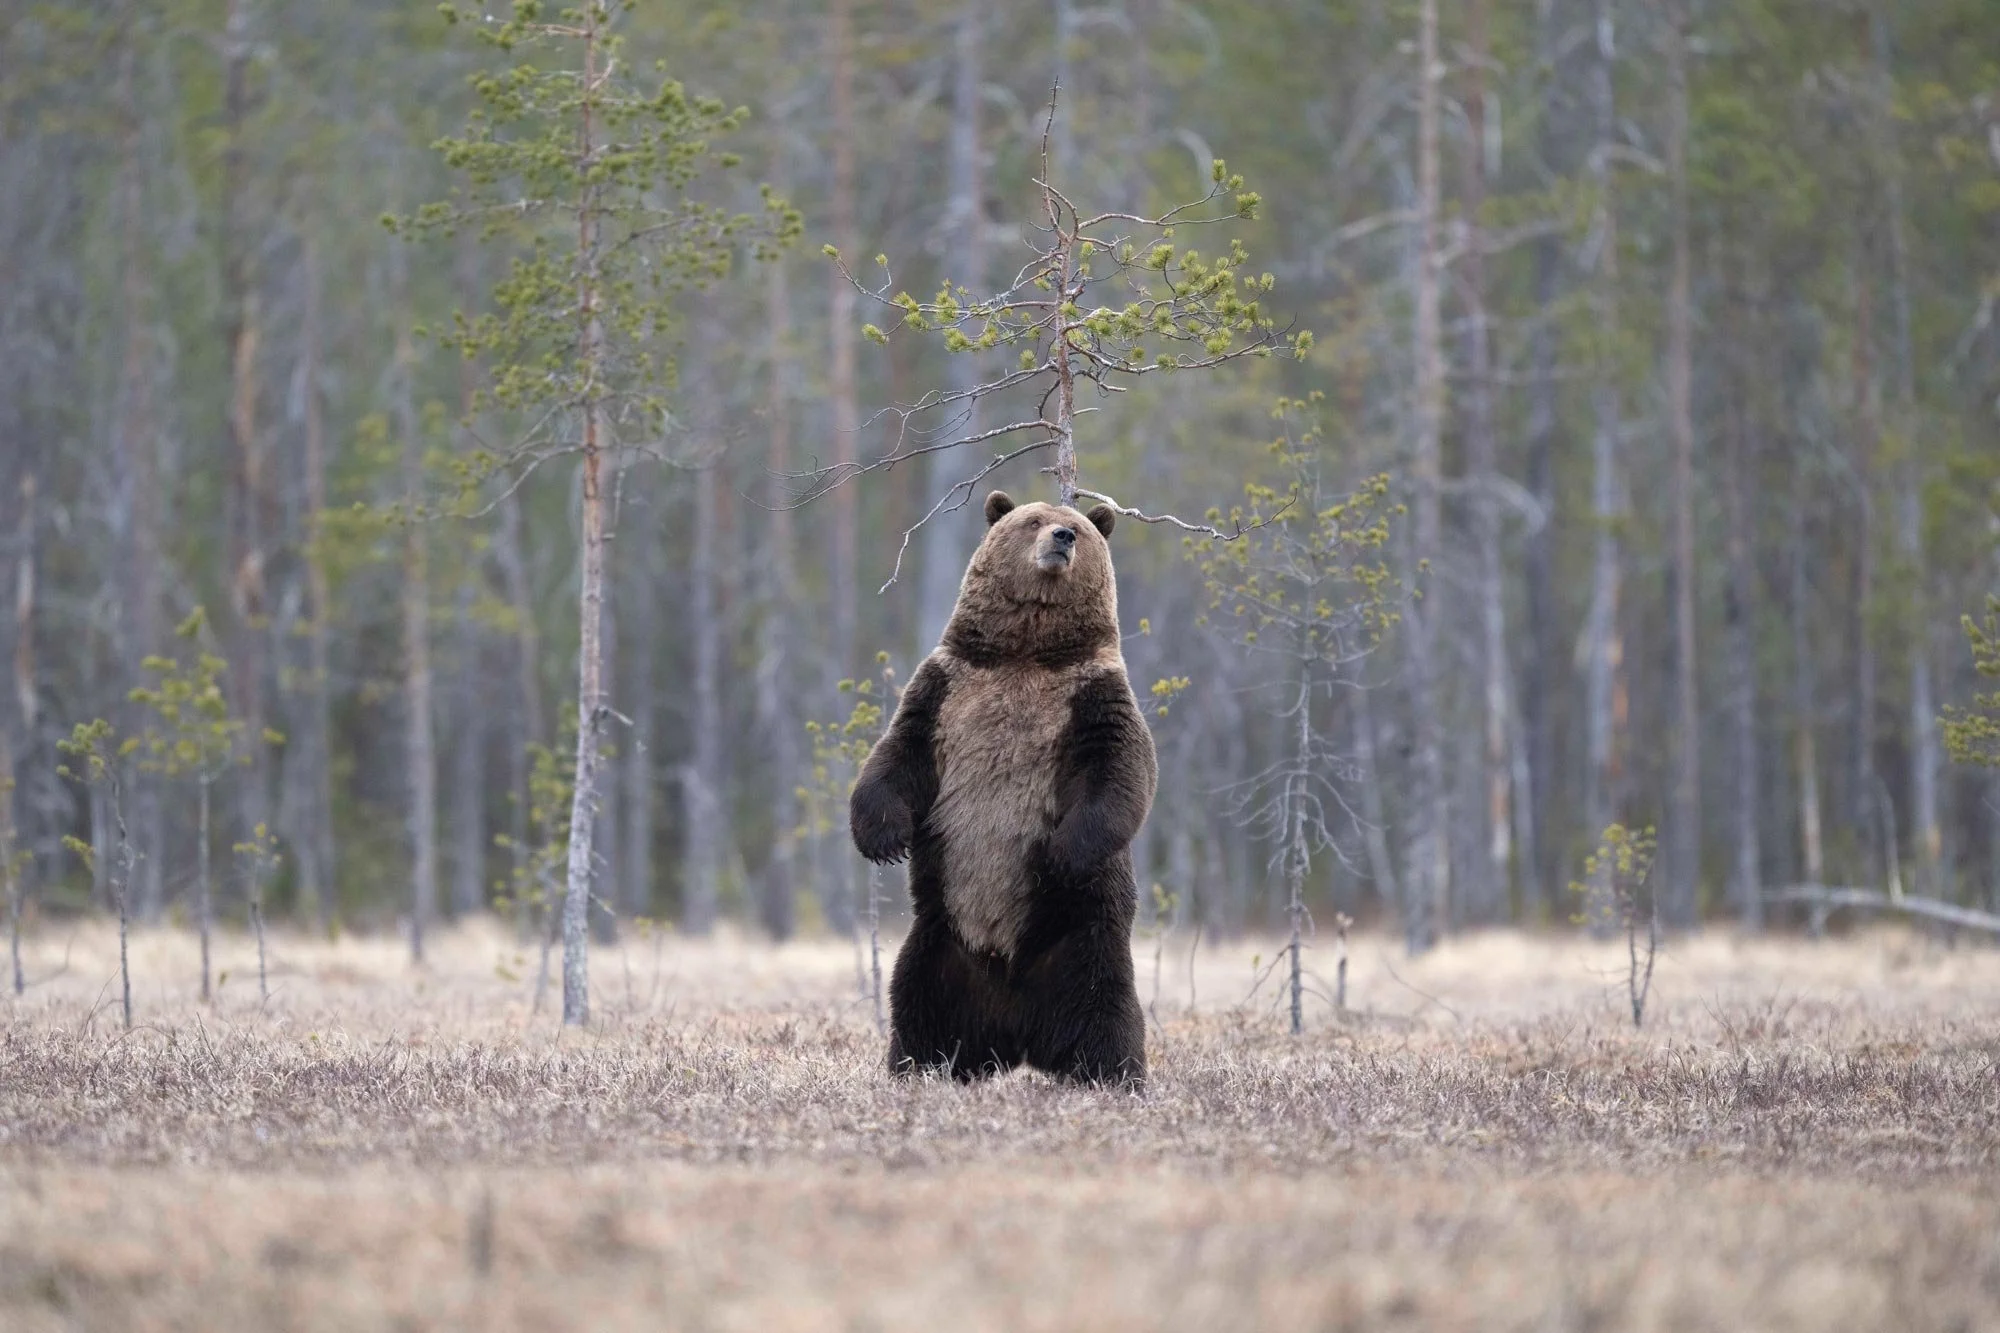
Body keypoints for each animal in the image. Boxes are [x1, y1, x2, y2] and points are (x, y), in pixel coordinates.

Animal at [849, 489, 1157, 1085]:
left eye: (1079, 526)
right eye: (1033, 520)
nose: (1063, 537)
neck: (1026, 652)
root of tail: (1015, 1030)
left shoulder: (1090, 698)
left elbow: (1120, 773)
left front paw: (1064, 852)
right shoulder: (947, 690)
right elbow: (897, 755)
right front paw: (883, 839)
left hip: (1081, 941)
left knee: (1106, 1014)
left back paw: (1114, 1076)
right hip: (941, 942)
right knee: (918, 1007)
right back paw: (917, 1068)